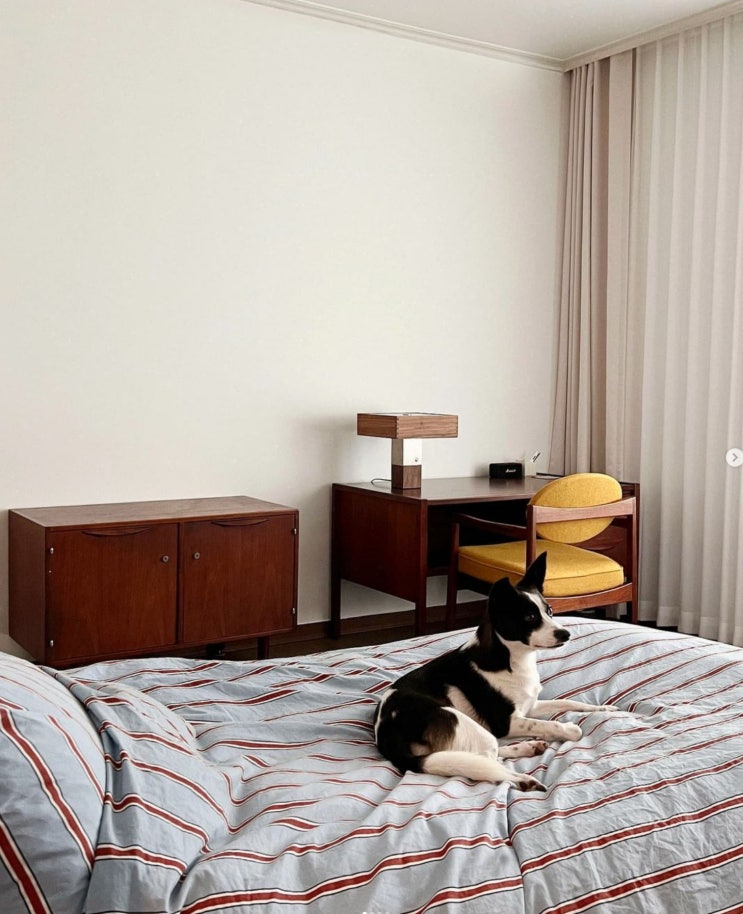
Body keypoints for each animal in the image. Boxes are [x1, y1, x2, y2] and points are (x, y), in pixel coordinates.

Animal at [374, 552, 617, 791]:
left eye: (549, 611)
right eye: (530, 617)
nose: (565, 634)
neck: (512, 659)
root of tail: (387, 732)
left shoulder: (529, 706)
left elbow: (569, 702)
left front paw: (605, 709)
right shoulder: (507, 722)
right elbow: (553, 724)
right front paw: (570, 729)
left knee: (486, 756)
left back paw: (529, 748)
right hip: (470, 727)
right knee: (489, 760)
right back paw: (524, 779)